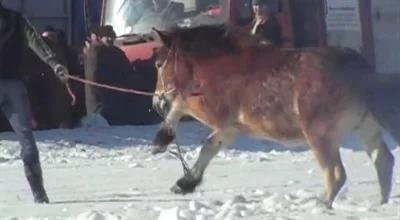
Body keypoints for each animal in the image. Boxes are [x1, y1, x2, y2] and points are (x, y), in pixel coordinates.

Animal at [151, 25, 396, 208]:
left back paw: (319, 205)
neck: (224, 66)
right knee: (384, 161)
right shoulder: (231, 127)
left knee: (336, 175)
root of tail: (358, 69)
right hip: (365, 129)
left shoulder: (215, 113)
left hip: (320, 136)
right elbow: (209, 146)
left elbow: (181, 105)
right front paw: (185, 182)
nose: (156, 102)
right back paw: (380, 205)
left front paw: (162, 139)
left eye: (159, 64)